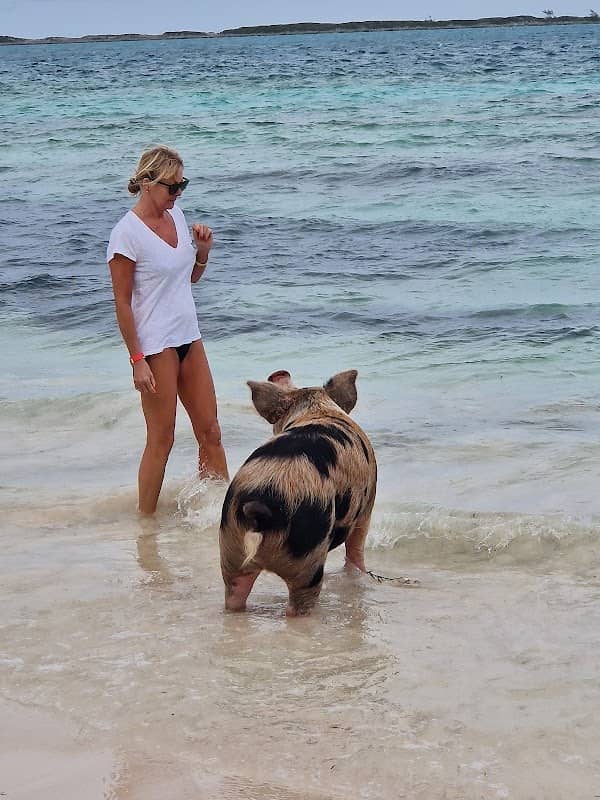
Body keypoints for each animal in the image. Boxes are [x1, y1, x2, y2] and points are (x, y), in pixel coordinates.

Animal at [219, 369, 377, 616]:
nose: (281, 373)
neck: (316, 408)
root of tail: (260, 503)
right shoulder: (367, 507)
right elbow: (356, 547)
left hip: (230, 546)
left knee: (235, 592)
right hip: (307, 558)